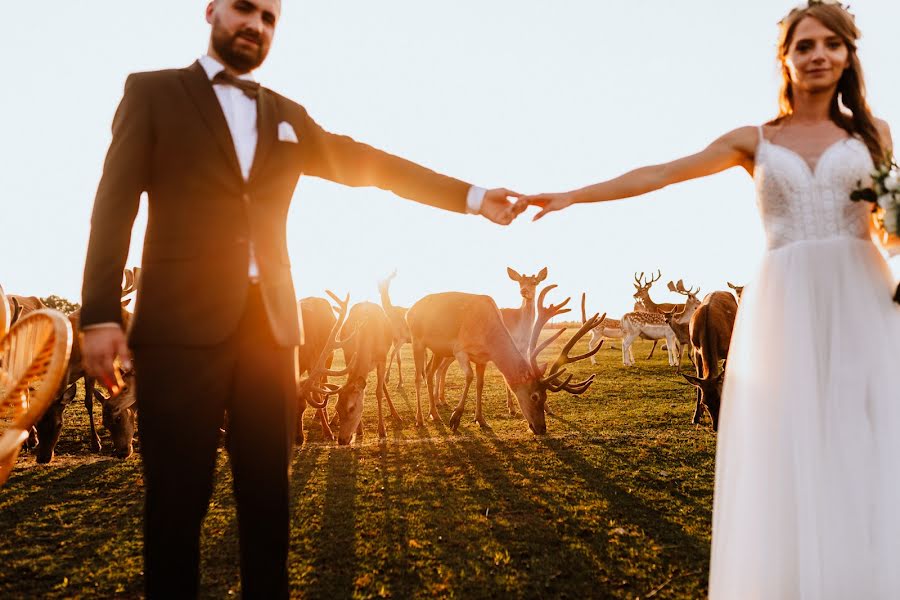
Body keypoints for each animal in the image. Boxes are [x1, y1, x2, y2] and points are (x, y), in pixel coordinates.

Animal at [408, 284, 604, 434]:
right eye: (535, 396)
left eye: (546, 397)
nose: (541, 429)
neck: (487, 335)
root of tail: (410, 310)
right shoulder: (460, 349)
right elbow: (469, 376)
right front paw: (455, 418)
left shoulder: (482, 359)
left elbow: (480, 384)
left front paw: (481, 419)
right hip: (418, 340)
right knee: (418, 377)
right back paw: (420, 419)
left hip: (438, 350)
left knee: (429, 372)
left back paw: (434, 414)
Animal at [684, 292, 740, 428]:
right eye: (705, 402)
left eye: (721, 398)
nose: (716, 427)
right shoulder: (696, 351)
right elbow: (699, 381)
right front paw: (696, 417)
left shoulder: (727, 348)